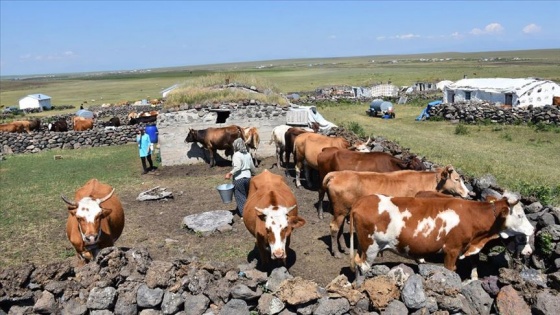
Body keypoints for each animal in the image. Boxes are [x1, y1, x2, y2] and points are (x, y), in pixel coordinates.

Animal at [322, 167, 470, 258]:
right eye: (457, 179)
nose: (468, 193)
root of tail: (336, 174)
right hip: (340, 211)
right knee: (334, 228)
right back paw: (336, 252)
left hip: (342, 211)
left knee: (340, 228)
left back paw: (345, 249)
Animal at [350, 193, 532, 286]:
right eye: (519, 215)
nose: (532, 229)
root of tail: (360, 202)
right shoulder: (452, 250)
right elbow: (451, 271)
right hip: (371, 246)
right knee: (363, 266)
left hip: (362, 246)